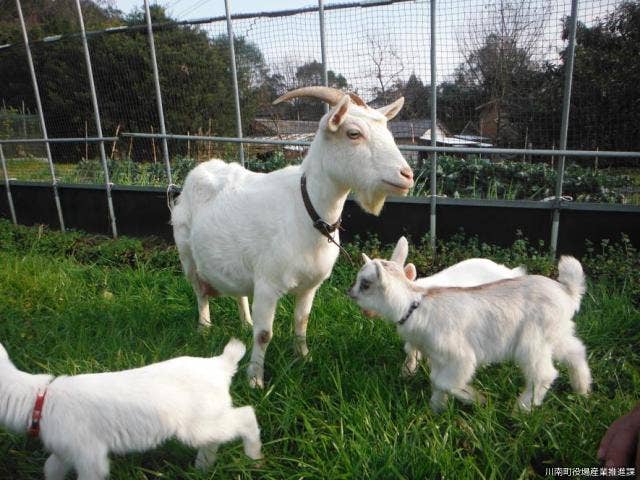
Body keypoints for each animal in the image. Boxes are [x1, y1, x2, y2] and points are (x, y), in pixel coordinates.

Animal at [172, 85, 412, 386]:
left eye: (388, 132)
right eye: (353, 133)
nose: (407, 175)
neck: (308, 212)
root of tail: (199, 170)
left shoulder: (310, 285)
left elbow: (302, 321)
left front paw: (303, 357)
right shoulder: (267, 284)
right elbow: (264, 334)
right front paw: (255, 380)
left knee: (237, 291)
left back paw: (244, 321)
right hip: (186, 254)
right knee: (199, 291)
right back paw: (204, 327)